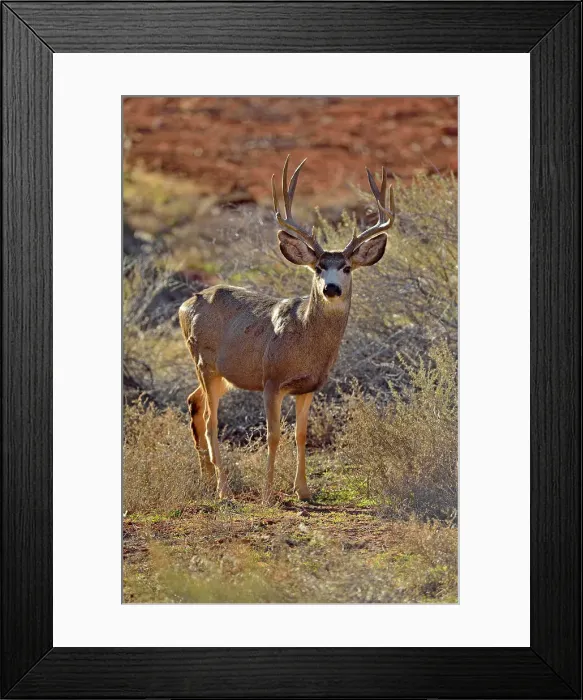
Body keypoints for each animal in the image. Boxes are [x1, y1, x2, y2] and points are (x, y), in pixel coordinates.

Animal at [179, 156, 395, 502]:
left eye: (346, 267)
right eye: (318, 268)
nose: (331, 288)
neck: (305, 342)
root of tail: (185, 304)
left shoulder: (308, 387)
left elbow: (301, 434)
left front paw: (303, 490)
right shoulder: (271, 380)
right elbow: (274, 435)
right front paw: (268, 494)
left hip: (223, 375)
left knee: (194, 403)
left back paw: (206, 481)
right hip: (204, 362)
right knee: (211, 419)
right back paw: (224, 490)